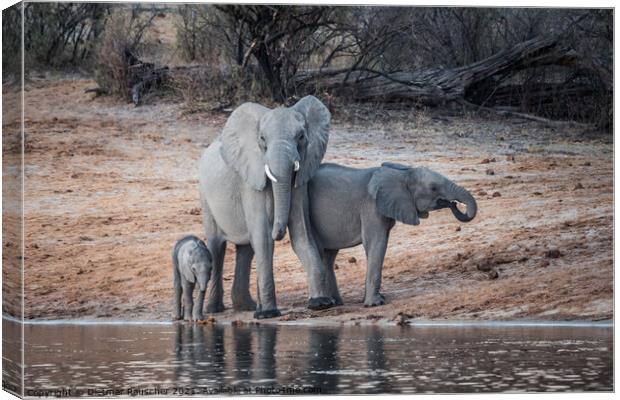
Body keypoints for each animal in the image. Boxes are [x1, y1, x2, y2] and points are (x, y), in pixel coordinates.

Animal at [199, 95, 340, 318]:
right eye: (262, 139)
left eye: (301, 137)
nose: (279, 232)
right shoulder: (251, 182)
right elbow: (264, 239)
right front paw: (268, 314)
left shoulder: (300, 182)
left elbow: (301, 235)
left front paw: (321, 303)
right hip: (206, 197)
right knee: (217, 246)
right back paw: (215, 310)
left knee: (246, 249)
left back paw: (246, 307)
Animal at [308, 162, 478, 306]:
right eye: (433, 188)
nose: (453, 203)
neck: (403, 174)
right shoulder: (371, 207)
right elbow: (376, 243)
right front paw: (375, 304)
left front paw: (374, 299)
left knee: (328, 256)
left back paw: (337, 303)